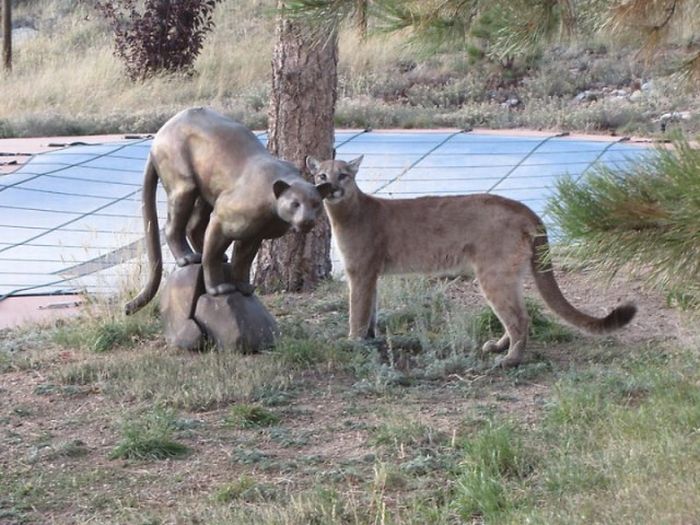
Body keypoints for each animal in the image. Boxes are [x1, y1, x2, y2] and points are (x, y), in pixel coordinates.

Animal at [124, 105, 332, 314]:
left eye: (316, 204)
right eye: (295, 203)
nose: (307, 220)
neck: (272, 213)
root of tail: (160, 133)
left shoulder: (253, 235)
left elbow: (243, 260)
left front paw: (243, 286)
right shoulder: (221, 220)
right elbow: (212, 256)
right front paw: (217, 288)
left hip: (206, 194)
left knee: (193, 227)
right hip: (184, 186)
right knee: (173, 227)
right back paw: (186, 257)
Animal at [304, 155, 636, 368]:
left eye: (343, 174)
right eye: (322, 175)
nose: (332, 187)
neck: (346, 211)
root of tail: (523, 208)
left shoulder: (360, 272)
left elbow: (357, 312)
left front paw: (352, 342)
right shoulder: (370, 275)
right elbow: (370, 311)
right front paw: (370, 340)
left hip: (492, 273)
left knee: (520, 318)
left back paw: (510, 360)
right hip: (507, 274)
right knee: (518, 314)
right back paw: (499, 347)